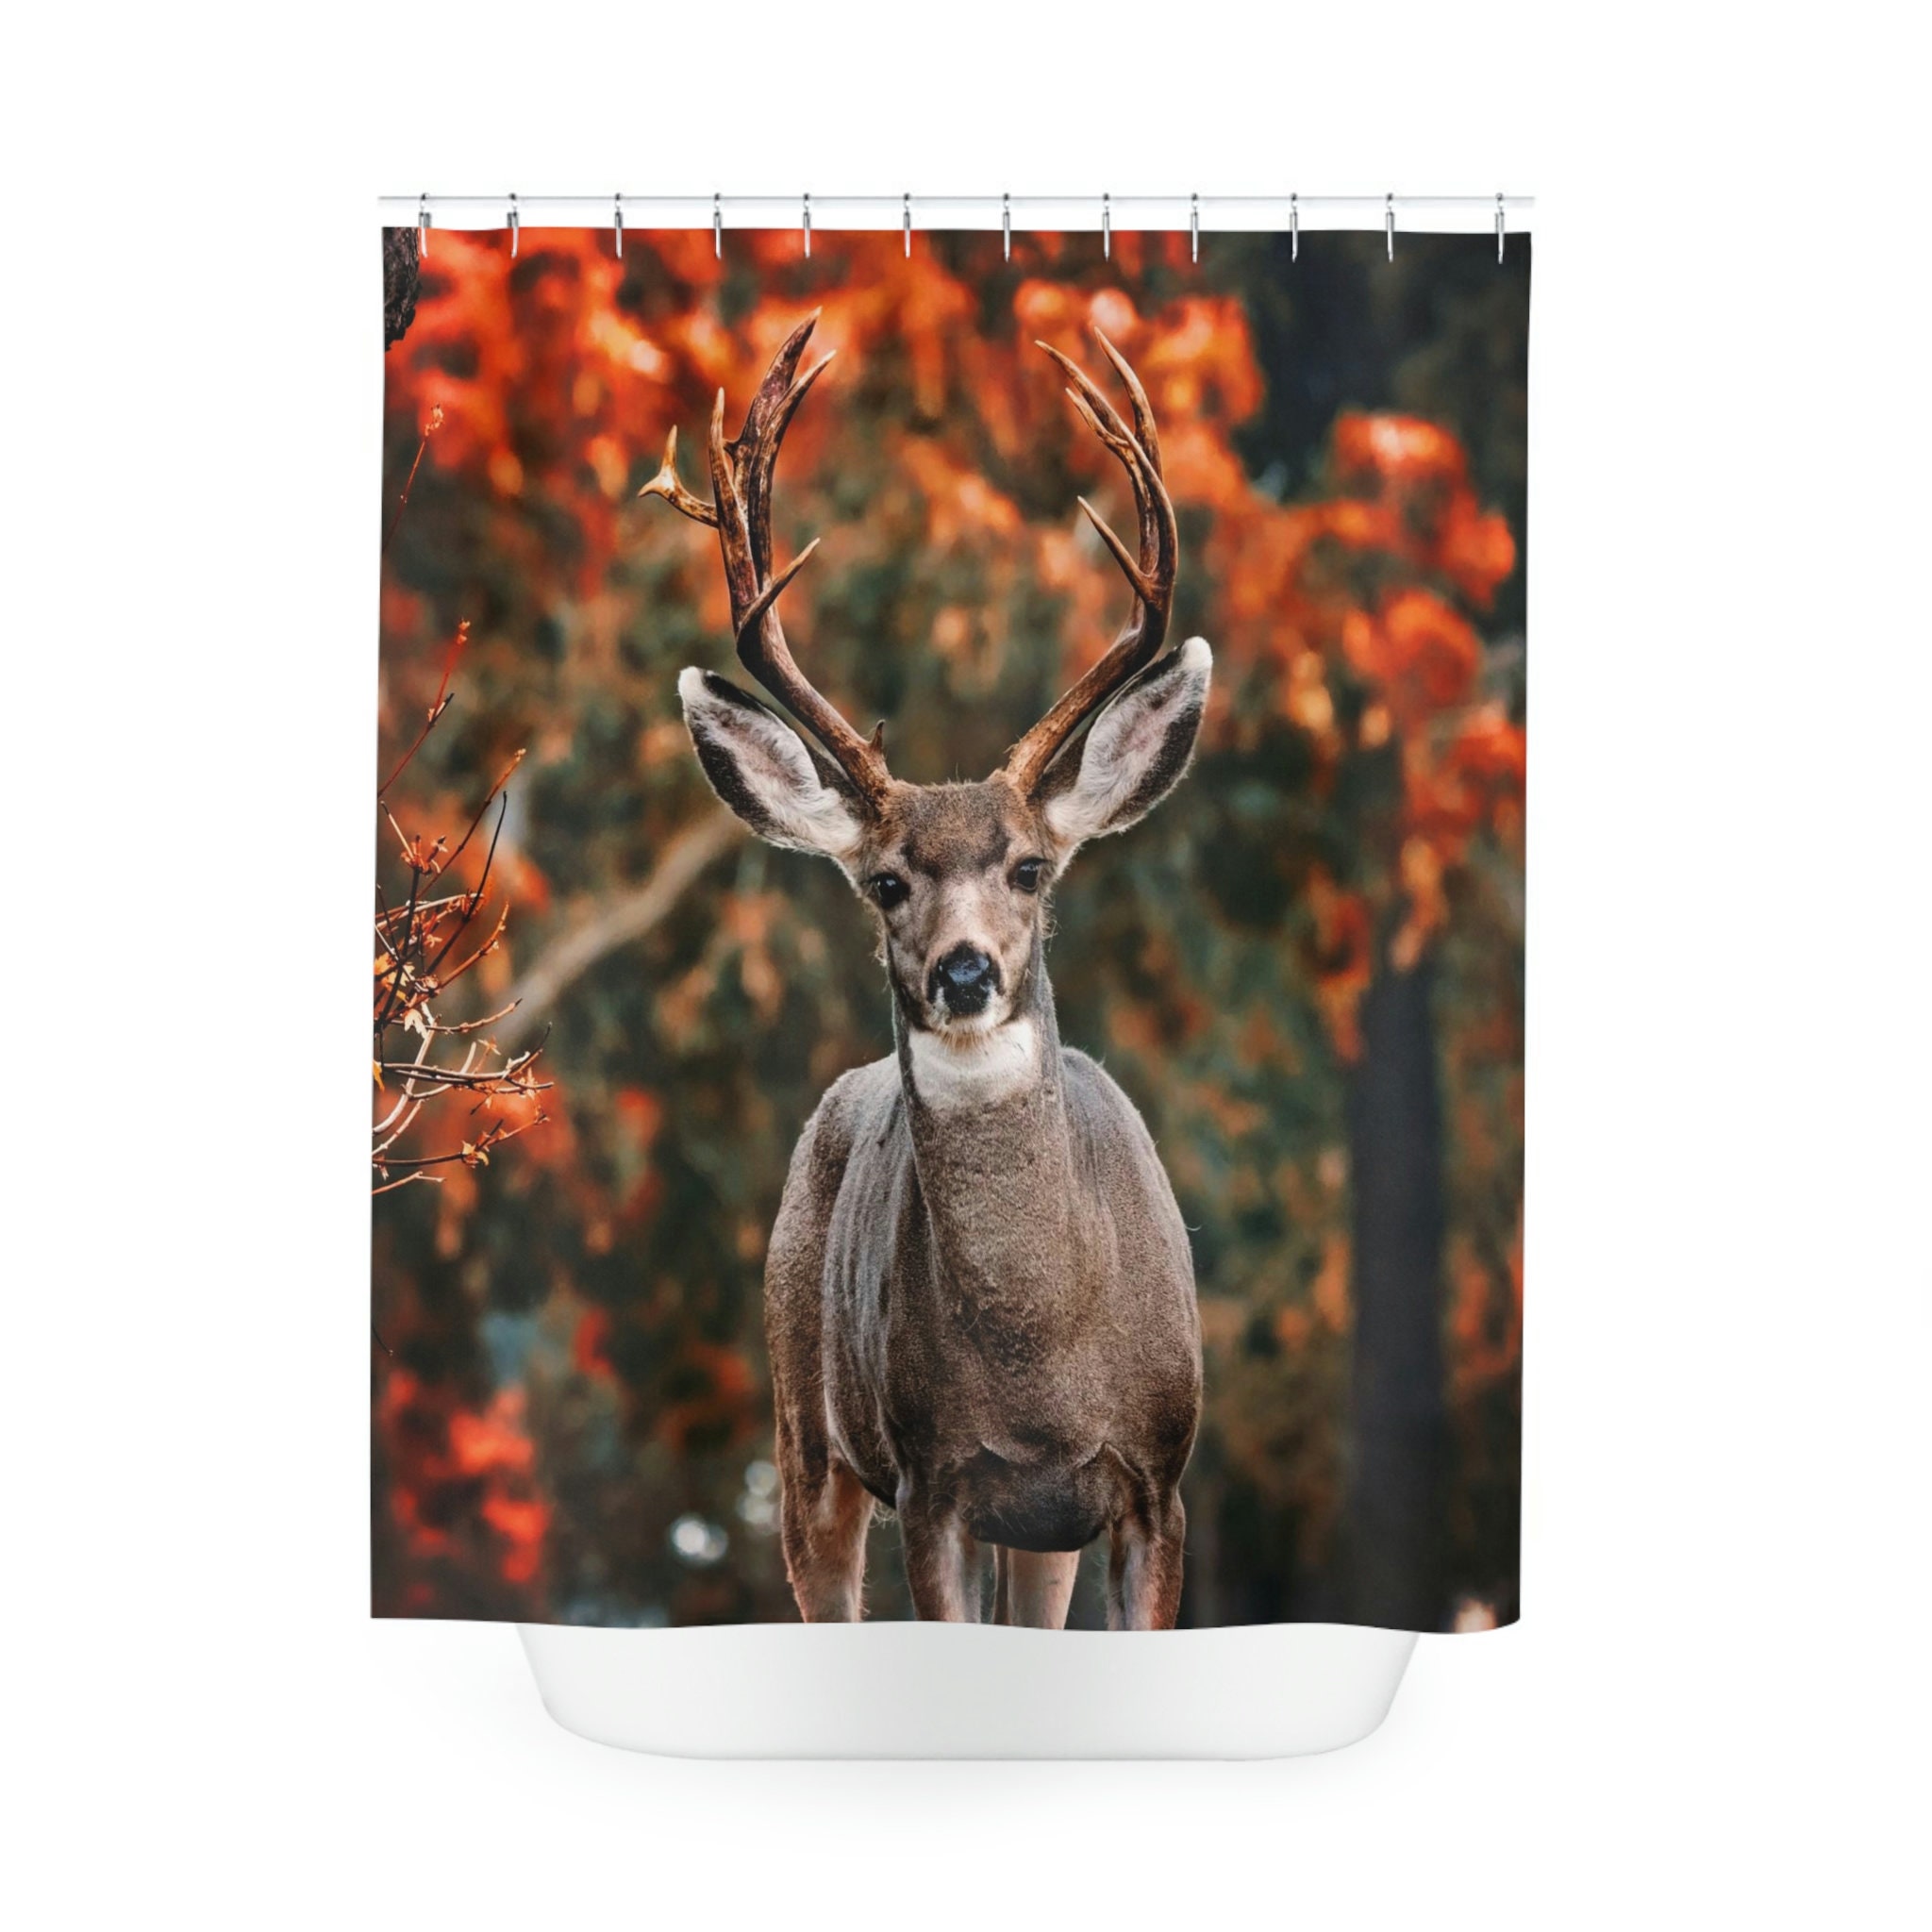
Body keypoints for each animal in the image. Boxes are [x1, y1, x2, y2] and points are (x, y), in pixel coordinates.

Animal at [642, 314, 1210, 1629]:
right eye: (887, 881)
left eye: (1030, 869)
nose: (962, 973)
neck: (1040, 1362)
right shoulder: (932, 1476)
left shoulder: (1155, 1477)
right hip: (805, 1430)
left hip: (1039, 1531)